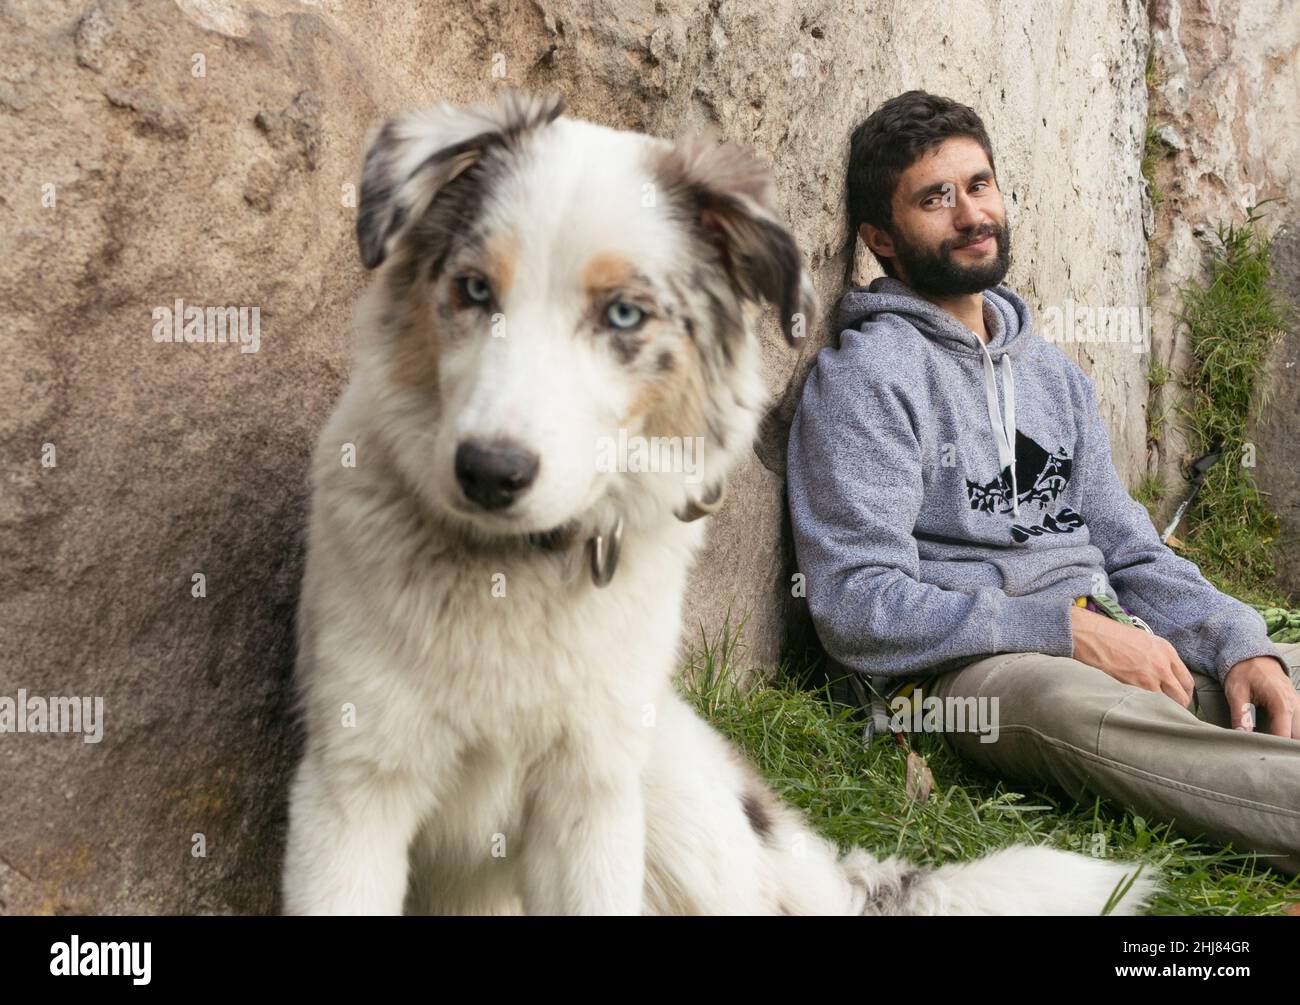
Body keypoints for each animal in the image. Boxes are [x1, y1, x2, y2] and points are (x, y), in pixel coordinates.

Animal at [282, 94, 1159, 915]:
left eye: (625, 314)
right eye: (472, 288)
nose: (489, 473)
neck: (513, 576)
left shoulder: (593, 795)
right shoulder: (351, 790)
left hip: (673, 799)